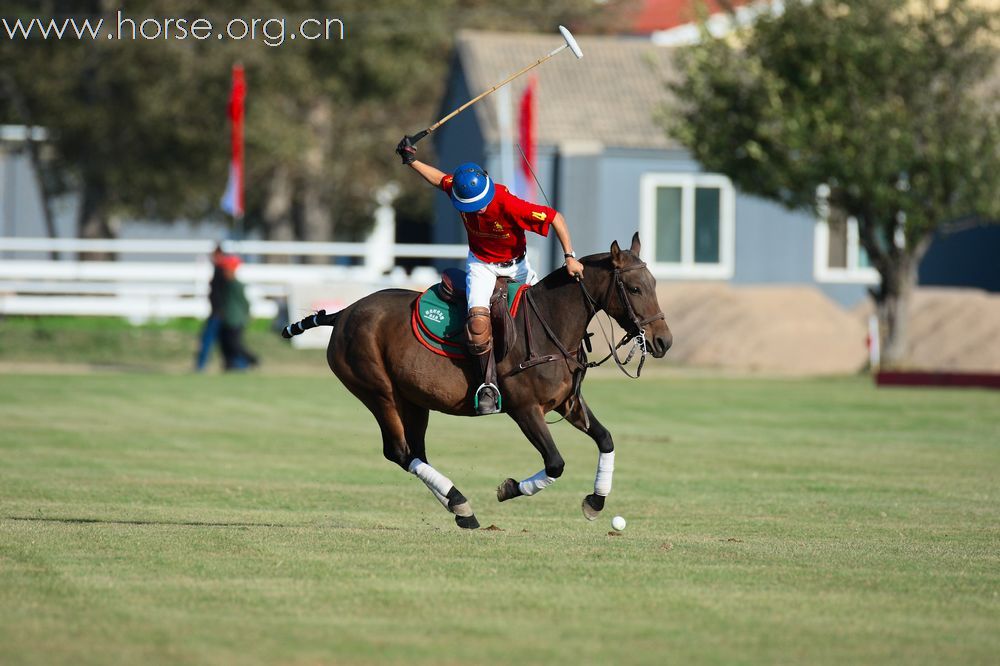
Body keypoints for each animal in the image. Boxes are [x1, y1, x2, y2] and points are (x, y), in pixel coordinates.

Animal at [282, 233, 672, 528]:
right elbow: (555, 463)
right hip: (379, 392)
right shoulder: (525, 409)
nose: (663, 341)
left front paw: (595, 501)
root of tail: (343, 313)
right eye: (634, 288)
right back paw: (460, 502)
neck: (550, 324)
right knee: (399, 451)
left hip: (415, 399)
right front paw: (509, 488)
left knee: (414, 450)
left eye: (654, 283)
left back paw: (459, 508)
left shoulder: (566, 402)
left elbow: (606, 439)